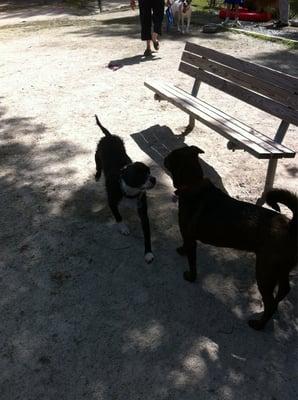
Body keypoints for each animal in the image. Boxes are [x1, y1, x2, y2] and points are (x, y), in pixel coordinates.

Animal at [95, 115, 156, 264]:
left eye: (149, 172)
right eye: (139, 176)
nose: (154, 179)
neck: (130, 192)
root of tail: (109, 136)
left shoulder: (143, 213)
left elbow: (147, 235)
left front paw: (148, 253)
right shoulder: (112, 202)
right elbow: (118, 216)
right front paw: (123, 228)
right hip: (97, 157)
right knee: (98, 166)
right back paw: (97, 175)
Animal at [164, 145, 296, 330]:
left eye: (170, 157)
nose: (165, 158)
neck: (193, 184)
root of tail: (290, 226)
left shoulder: (189, 236)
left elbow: (191, 260)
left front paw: (191, 276)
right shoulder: (187, 236)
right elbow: (185, 246)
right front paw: (182, 250)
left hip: (265, 273)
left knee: (270, 304)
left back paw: (259, 324)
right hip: (281, 270)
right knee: (283, 290)